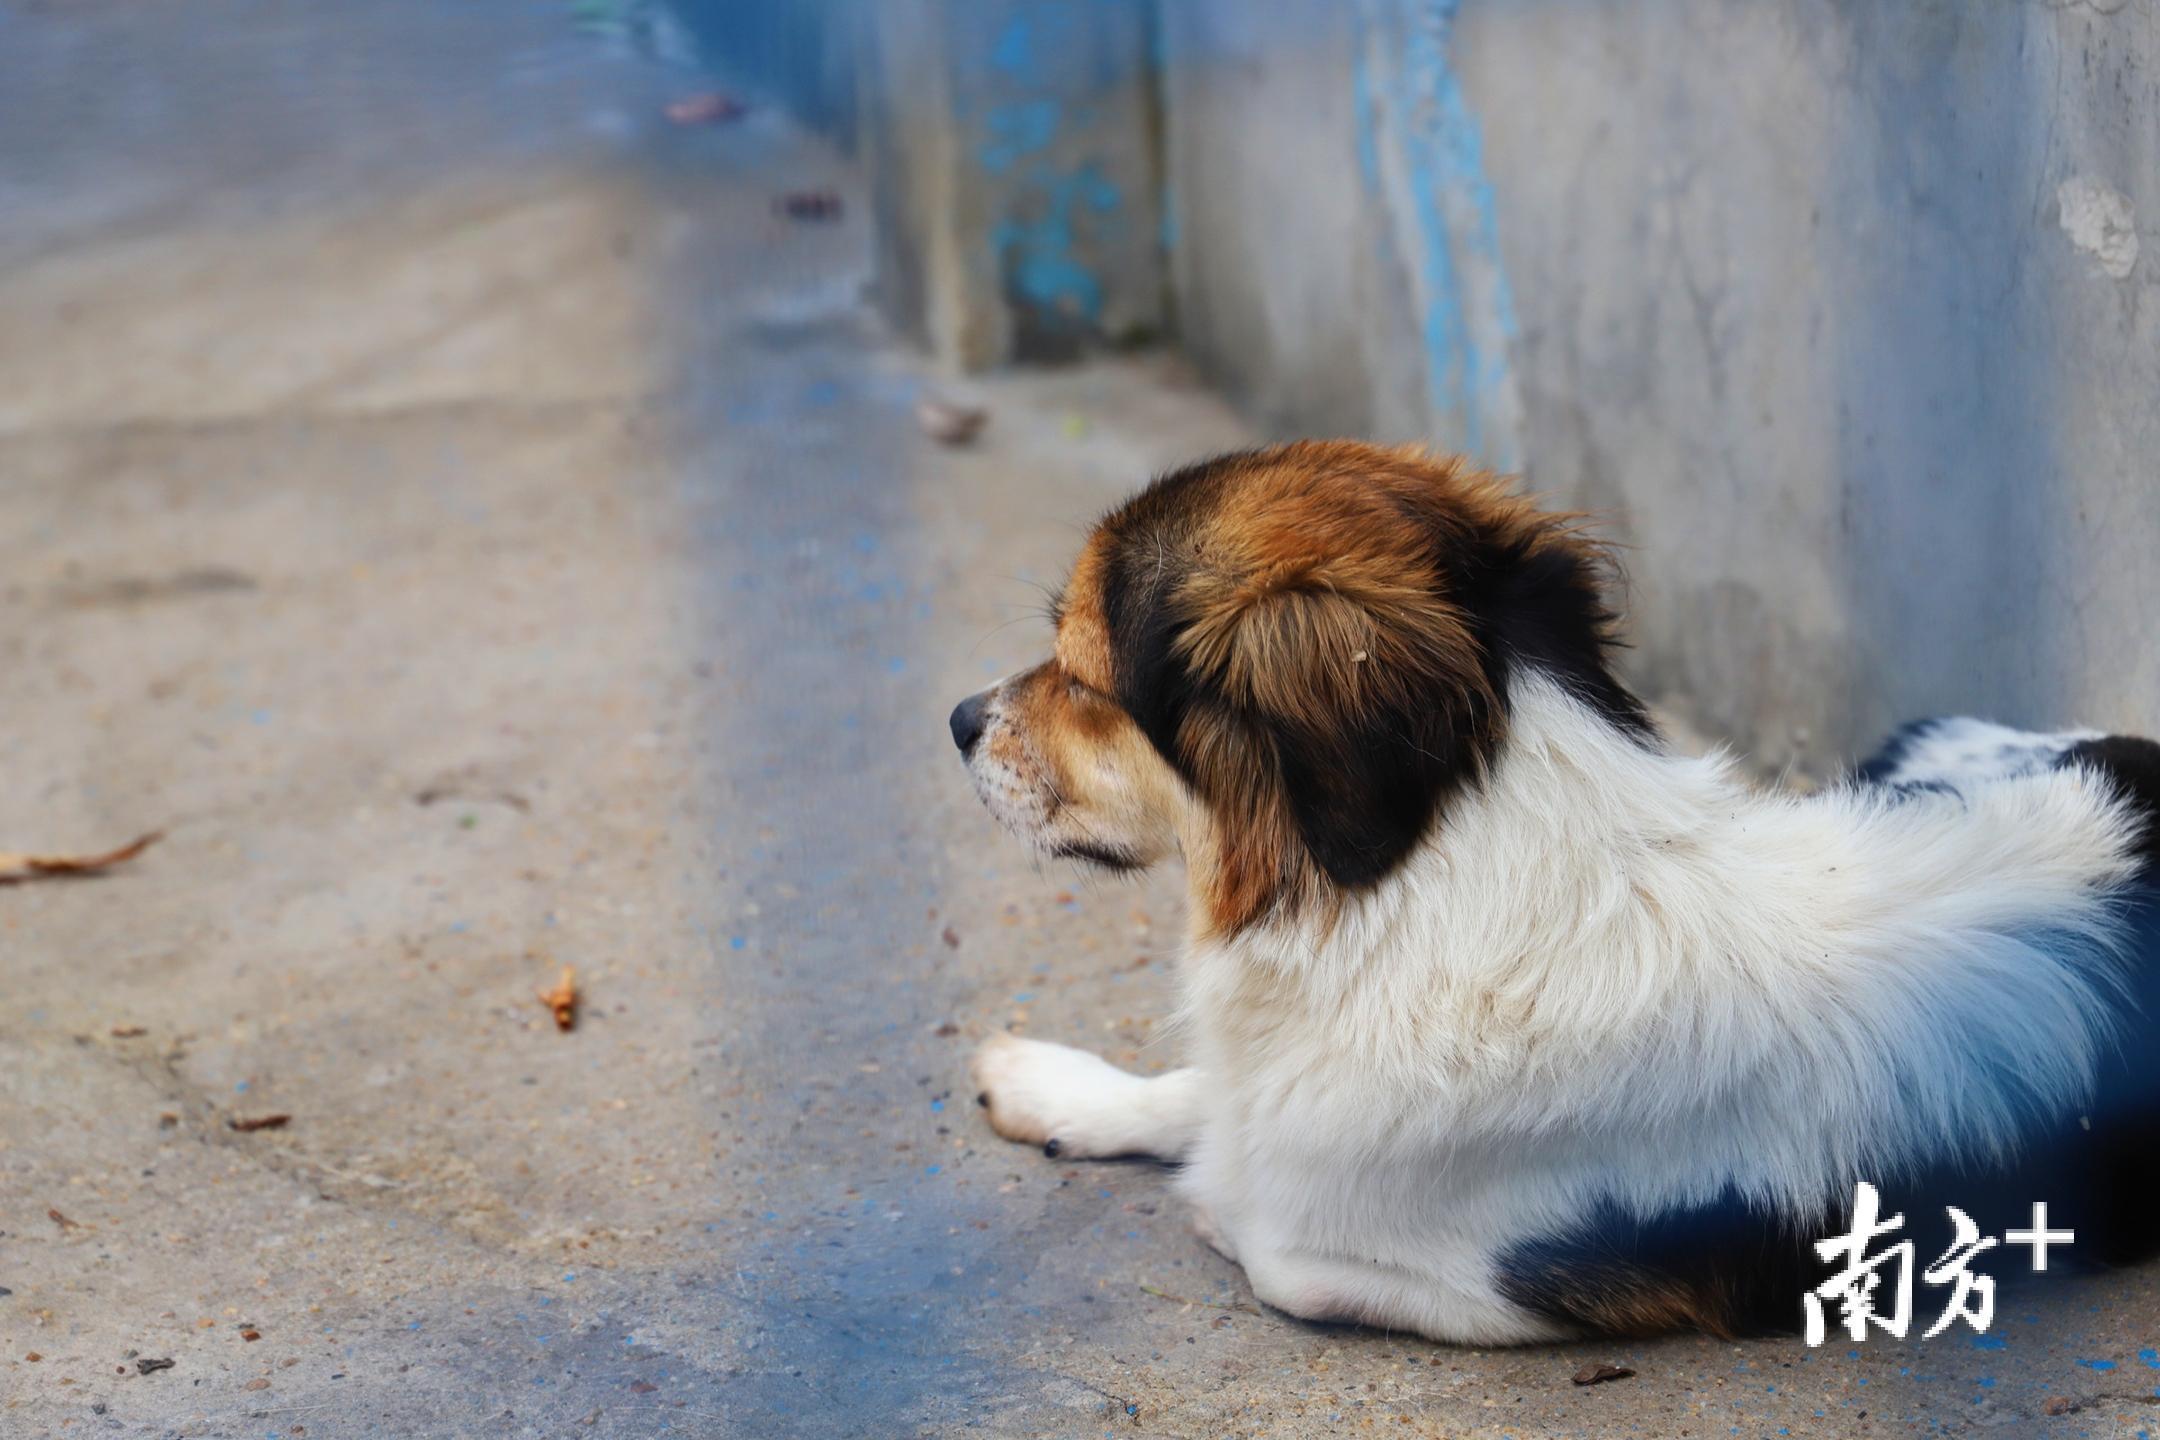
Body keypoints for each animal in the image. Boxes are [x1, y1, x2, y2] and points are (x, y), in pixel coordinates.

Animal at [946, 444, 2160, 1347]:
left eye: (1083, 677)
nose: (958, 719)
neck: (1414, 888)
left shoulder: (1513, 1284)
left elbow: (1267, 1234)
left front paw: (1211, 1191)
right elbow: (1201, 1095)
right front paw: (1062, 1089)